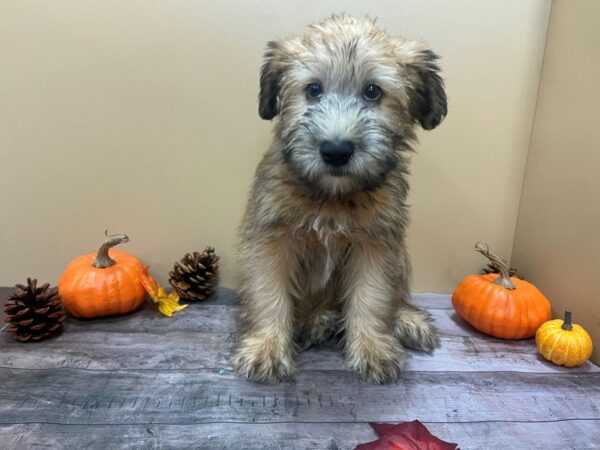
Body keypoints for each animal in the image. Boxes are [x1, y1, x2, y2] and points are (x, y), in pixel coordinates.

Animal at [230, 14, 446, 384]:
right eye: (313, 89)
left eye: (373, 91)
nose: (335, 150)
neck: (331, 198)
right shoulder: (270, 239)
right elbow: (269, 294)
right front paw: (266, 347)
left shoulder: (376, 243)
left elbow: (372, 297)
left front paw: (372, 348)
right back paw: (317, 321)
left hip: (400, 256)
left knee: (396, 297)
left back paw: (405, 319)